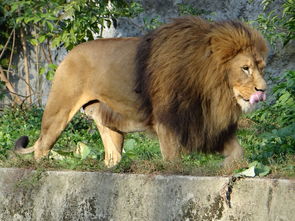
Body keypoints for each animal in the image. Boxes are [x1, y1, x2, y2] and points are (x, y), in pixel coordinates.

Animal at [13, 16, 270, 167]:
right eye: (245, 68)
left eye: (261, 67)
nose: (263, 90)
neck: (213, 89)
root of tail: (71, 52)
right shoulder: (168, 121)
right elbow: (173, 159)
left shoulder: (208, 123)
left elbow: (238, 152)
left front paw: (238, 169)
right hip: (58, 111)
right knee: (42, 146)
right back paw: (43, 167)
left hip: (109, 123)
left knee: (112, 156)